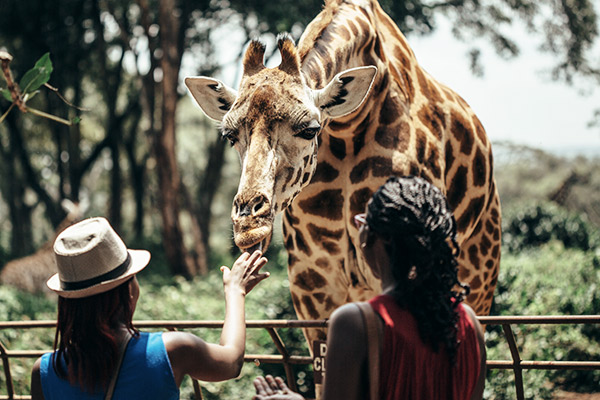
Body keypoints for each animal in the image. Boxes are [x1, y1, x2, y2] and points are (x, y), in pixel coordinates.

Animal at [185, 0, 500, 346]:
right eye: (229, 135)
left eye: (310, 129)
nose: (248, 225)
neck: (348, 129)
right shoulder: (312, 282)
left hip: (479, 273)